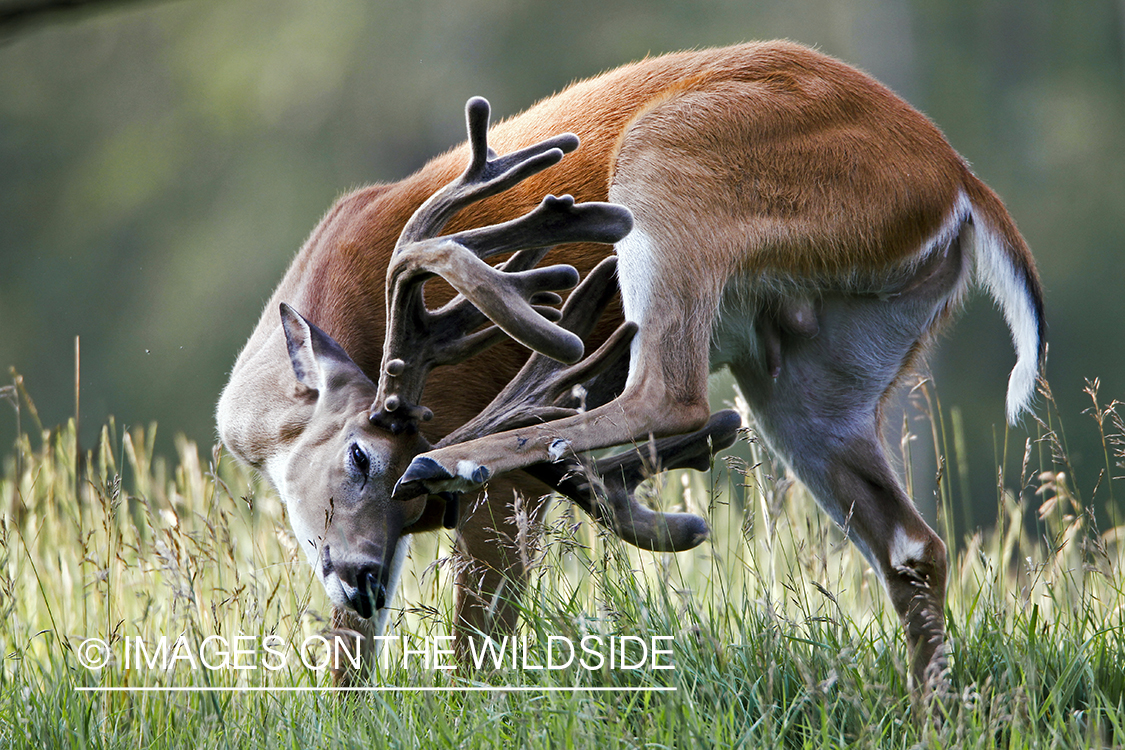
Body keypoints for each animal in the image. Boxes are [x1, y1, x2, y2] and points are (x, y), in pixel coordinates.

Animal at [217, 41, 1044, 692]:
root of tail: (956, 180)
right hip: (822, 366)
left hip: (676, 160)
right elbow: (348, 669)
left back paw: (465, 454)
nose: (360, 577)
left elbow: (474, 646)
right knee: (914, 547)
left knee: (672, 394)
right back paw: (934, 714)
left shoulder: (506, 500)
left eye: (362, 456)